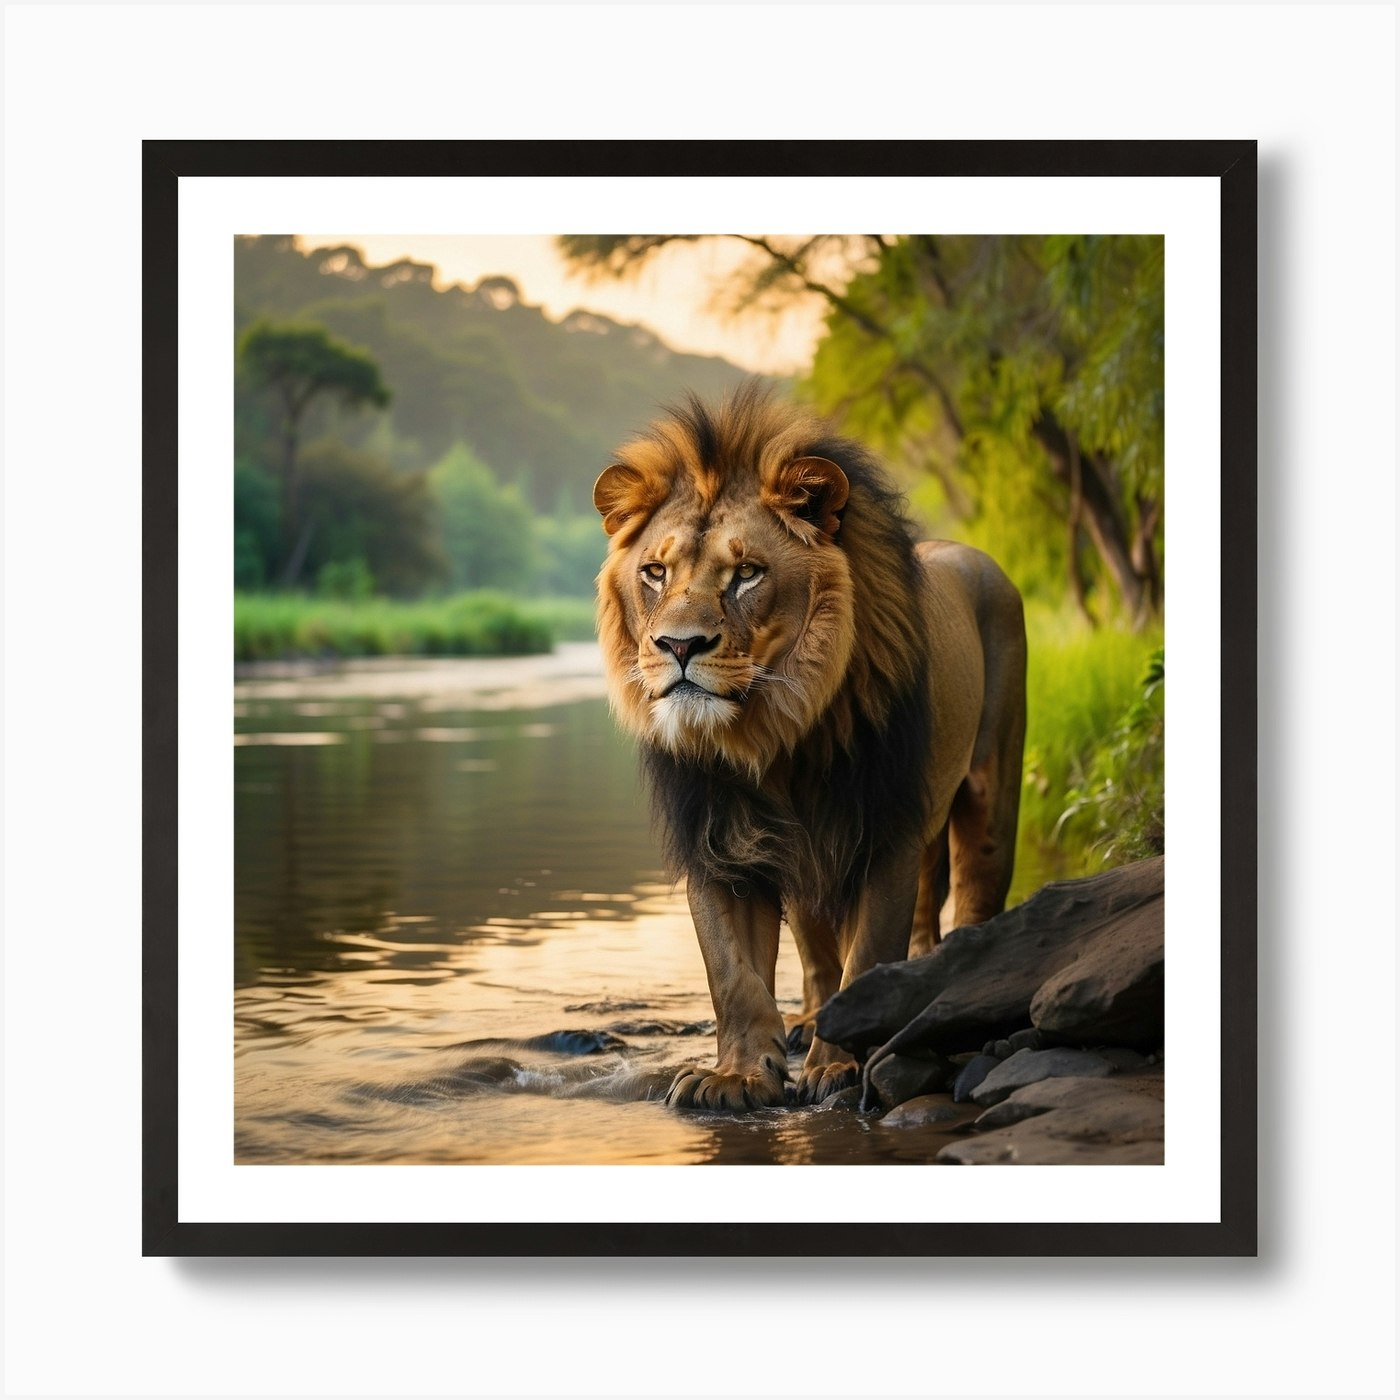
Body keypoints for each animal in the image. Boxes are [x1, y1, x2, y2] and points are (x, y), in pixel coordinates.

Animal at [593, 384, 1026, 1108]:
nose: (678, 645)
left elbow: (870, 953)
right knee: (826, 953)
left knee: (970, 899)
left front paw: (841, 1067)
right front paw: (736, 1075)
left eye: (746, 573)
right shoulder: (720, 842)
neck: (773, 736)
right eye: (655, 571)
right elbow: (733, 973)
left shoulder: (883, 831)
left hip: (987, 797)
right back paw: (807, 1022)